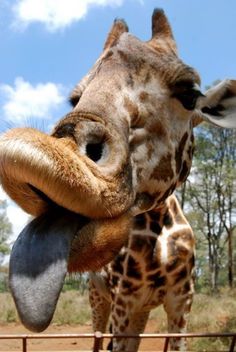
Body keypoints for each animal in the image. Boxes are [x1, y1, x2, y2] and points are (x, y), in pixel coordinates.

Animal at [0, 7, 235, 332]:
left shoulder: (181, 302)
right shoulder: (125, 300)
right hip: (98, 299)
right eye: (75, 99)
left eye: (190, 95)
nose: (61, 152)